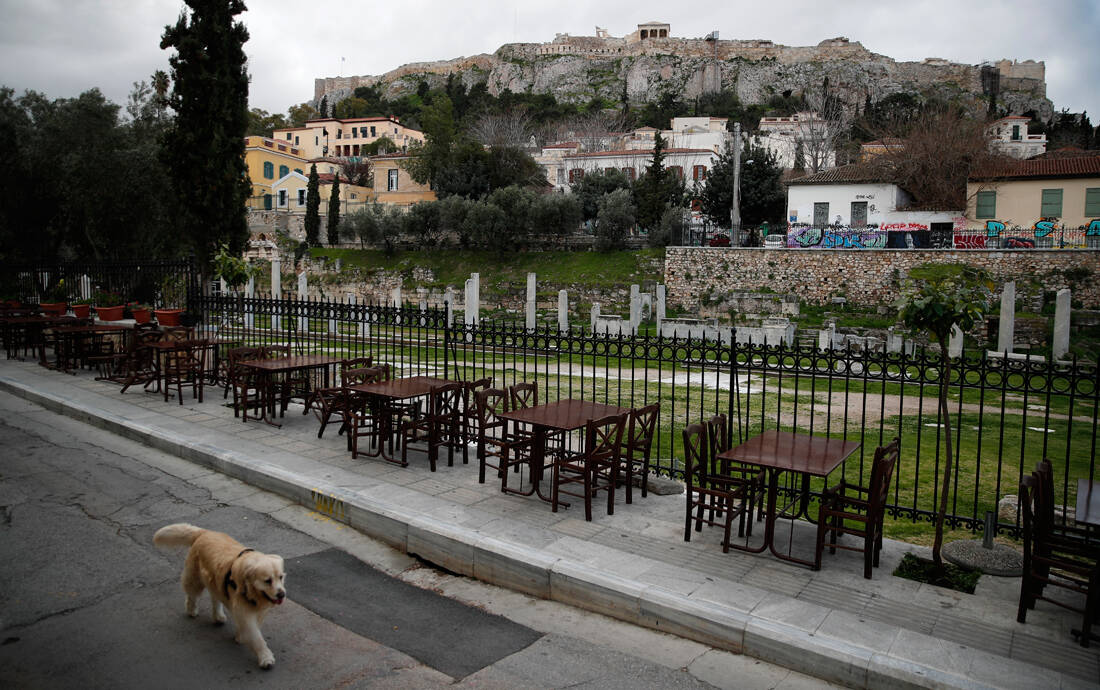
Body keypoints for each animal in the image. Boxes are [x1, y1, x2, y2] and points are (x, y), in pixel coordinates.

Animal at [155, 523, 286, 669]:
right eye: (267, 580)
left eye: (280, 577)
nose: (282, 594)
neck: (250, 588)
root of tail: (204, 532)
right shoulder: (244, 612)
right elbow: (257, 637)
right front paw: (265, 657)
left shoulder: (258, 611)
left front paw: (241, 636)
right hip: (195, 579)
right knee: (192, 596)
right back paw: (191, 610)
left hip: (214, 581)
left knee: (215, 598)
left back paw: (218, 616)